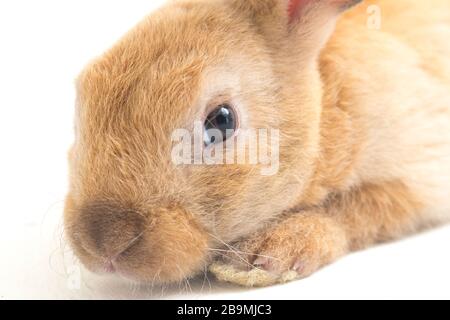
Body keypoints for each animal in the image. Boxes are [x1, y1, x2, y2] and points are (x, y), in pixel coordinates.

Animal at [64, 0, 450, 286]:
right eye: (85, 89)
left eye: (221, 122)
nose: (103, 242)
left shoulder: (421, 172)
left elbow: (360, 207)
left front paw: (268, 253)